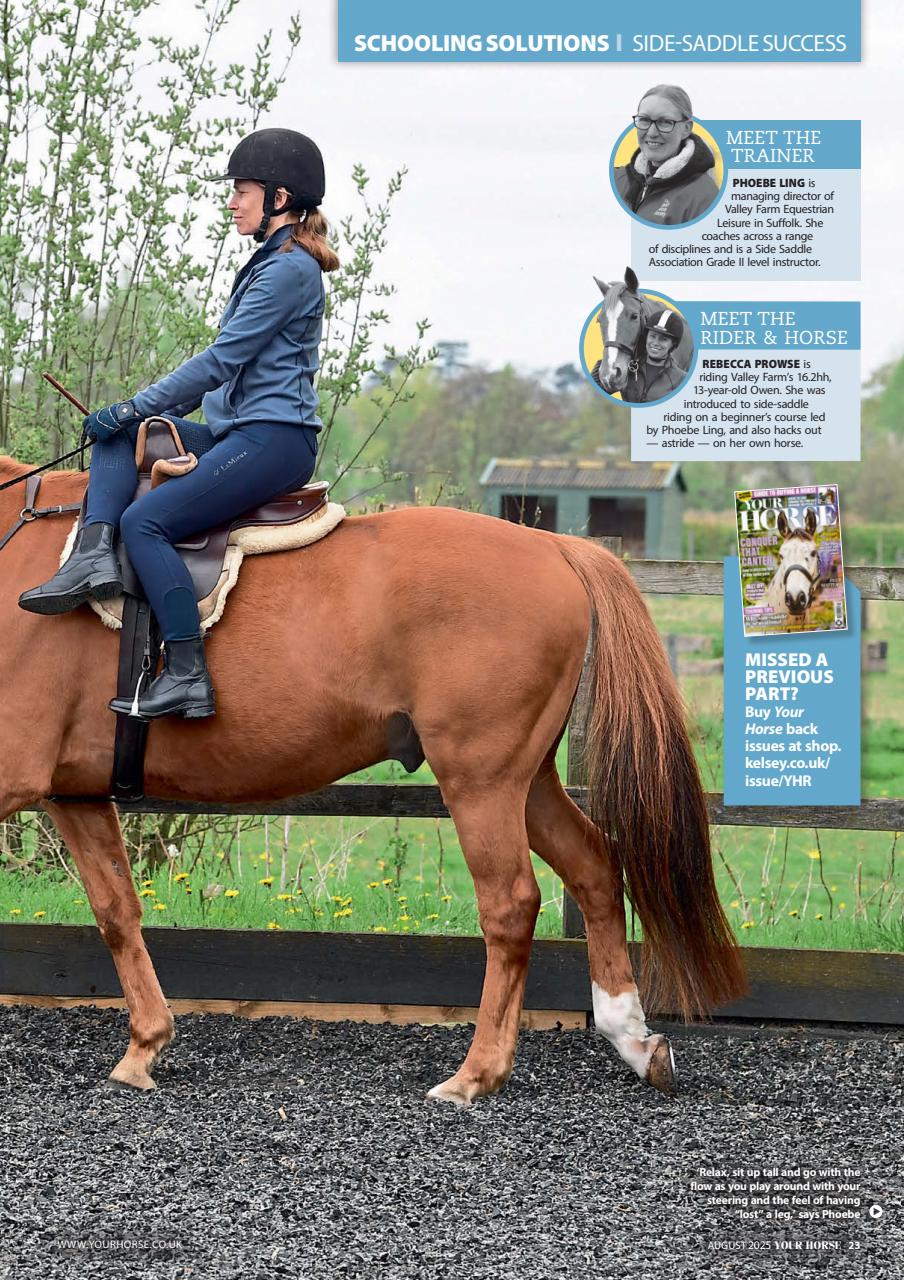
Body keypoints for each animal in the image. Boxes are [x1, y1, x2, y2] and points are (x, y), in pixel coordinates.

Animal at [0, 455, 746, 1104]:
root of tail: (555, 547)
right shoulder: (75, 793)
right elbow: (117, 912)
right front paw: (145, 1048)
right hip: (526, 778)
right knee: (593, 866)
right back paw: (631, 1039)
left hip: (480, 779)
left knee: (510, 904)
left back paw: (476, 1075)